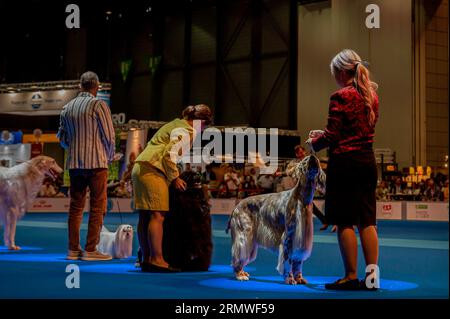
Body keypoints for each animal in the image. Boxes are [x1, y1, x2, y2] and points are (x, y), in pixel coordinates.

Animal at [227, 156, 326, 286]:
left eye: (317, 160)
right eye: (305, 160)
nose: (313, 157)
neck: (302, 198)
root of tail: (236, 207)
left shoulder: (302, 240)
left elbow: (298, 263)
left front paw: (299, 278)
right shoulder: (289, 237)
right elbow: (288, 262)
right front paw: (289, 278)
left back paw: (243, 272)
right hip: (244, 236)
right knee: (238, 256)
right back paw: (240, 274)